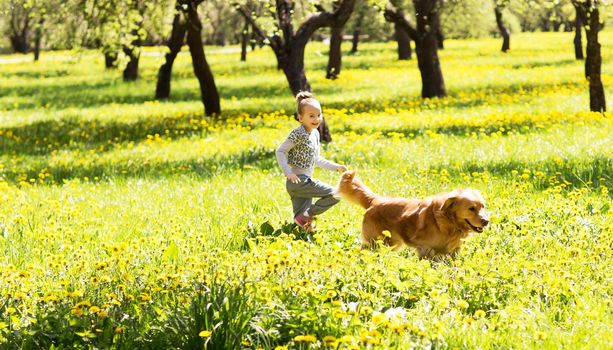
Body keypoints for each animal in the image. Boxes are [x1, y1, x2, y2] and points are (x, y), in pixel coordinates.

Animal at [338, 171, 490, 258]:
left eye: (482, 206)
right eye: (471, 208)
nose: (486, 221)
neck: (448, 222)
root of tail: (376, 200)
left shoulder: (453, 251)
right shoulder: (425, 248)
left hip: (390, 243)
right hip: (375, 242)